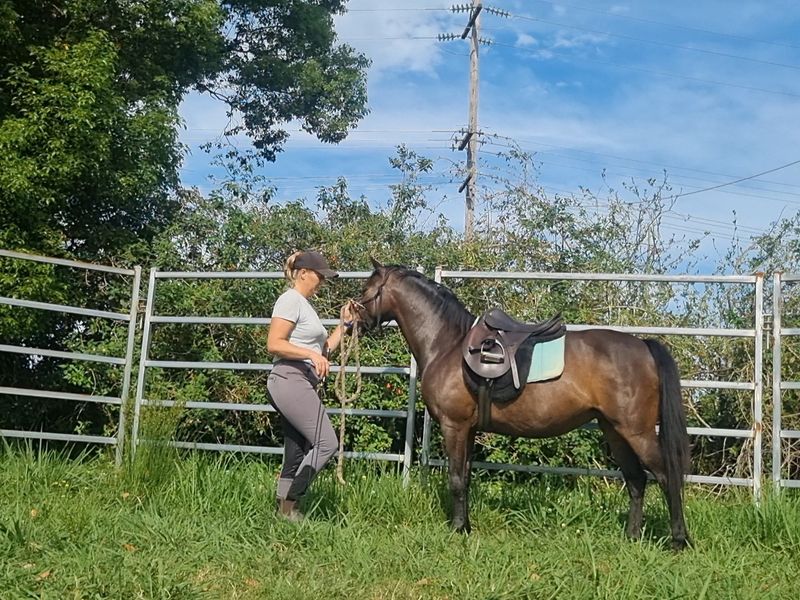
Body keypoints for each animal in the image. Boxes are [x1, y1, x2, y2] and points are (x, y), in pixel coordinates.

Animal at [352, 259, 690, 550]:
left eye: (366, 290)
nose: (354, 322)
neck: (447, 344)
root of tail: (644, 345)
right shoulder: (469, 430)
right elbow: (467, 476)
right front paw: (467, 525)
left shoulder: (454, 426)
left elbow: (456, 479)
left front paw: (458, 528)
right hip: (614, 431)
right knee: (636, 479)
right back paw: (633, 537)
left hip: (637, 432)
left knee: (666, 477)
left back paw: (679, 540)